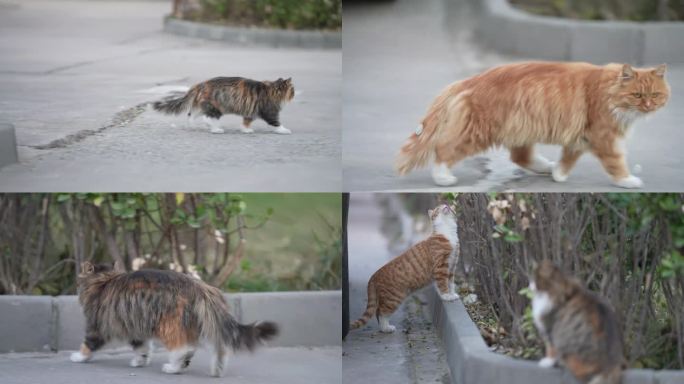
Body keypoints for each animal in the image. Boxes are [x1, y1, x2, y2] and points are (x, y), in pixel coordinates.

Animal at [71, 262, 280, 376]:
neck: (103, 280)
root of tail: (199, 286)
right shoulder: (135, 325)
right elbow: (142, 347)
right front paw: (140, 361)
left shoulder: (98, 325)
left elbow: (88, 344)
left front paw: (78, 357)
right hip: (199, 324)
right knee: (217, 347)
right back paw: (215, 370)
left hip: (168, 324)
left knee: (182, 347)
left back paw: (173, 367)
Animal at [152, 76, 294, 134]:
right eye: (292, 89)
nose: (294, 93)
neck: (272, 90)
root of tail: (201, 84)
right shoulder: (269, 111)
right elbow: (276, 122)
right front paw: (284, 130)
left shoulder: (250, 111)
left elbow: (246, 122)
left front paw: (246, 130)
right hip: (216, 107)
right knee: (207, 118)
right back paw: (216, 129)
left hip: (203, 106)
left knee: (191, 115)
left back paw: (194, 125)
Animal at [352, 204, 460, 332]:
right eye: (439, 207)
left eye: (450, 207)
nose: (446, 205)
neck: (447, 232)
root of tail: (373, 276)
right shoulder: (440, 266)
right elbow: (443, 283)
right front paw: (446, 296)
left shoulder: (452, 265)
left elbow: (450, 282)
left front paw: (452, 294)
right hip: (394, 298)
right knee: (380, 312)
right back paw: (386, 328)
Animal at [398, 60, 672, 190]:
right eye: (637, 95)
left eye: (655, 95)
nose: (648, 105)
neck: (608, 91)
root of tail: (470, 80)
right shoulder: (603, 135)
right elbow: (616, 162)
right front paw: (627, 180)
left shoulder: (581, 137)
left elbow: (568, 158)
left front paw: (559, 174)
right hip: (478, 133)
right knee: (443, 150)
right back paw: (443, 177)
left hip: (522, 129)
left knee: (520, 156)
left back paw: (546, 167)